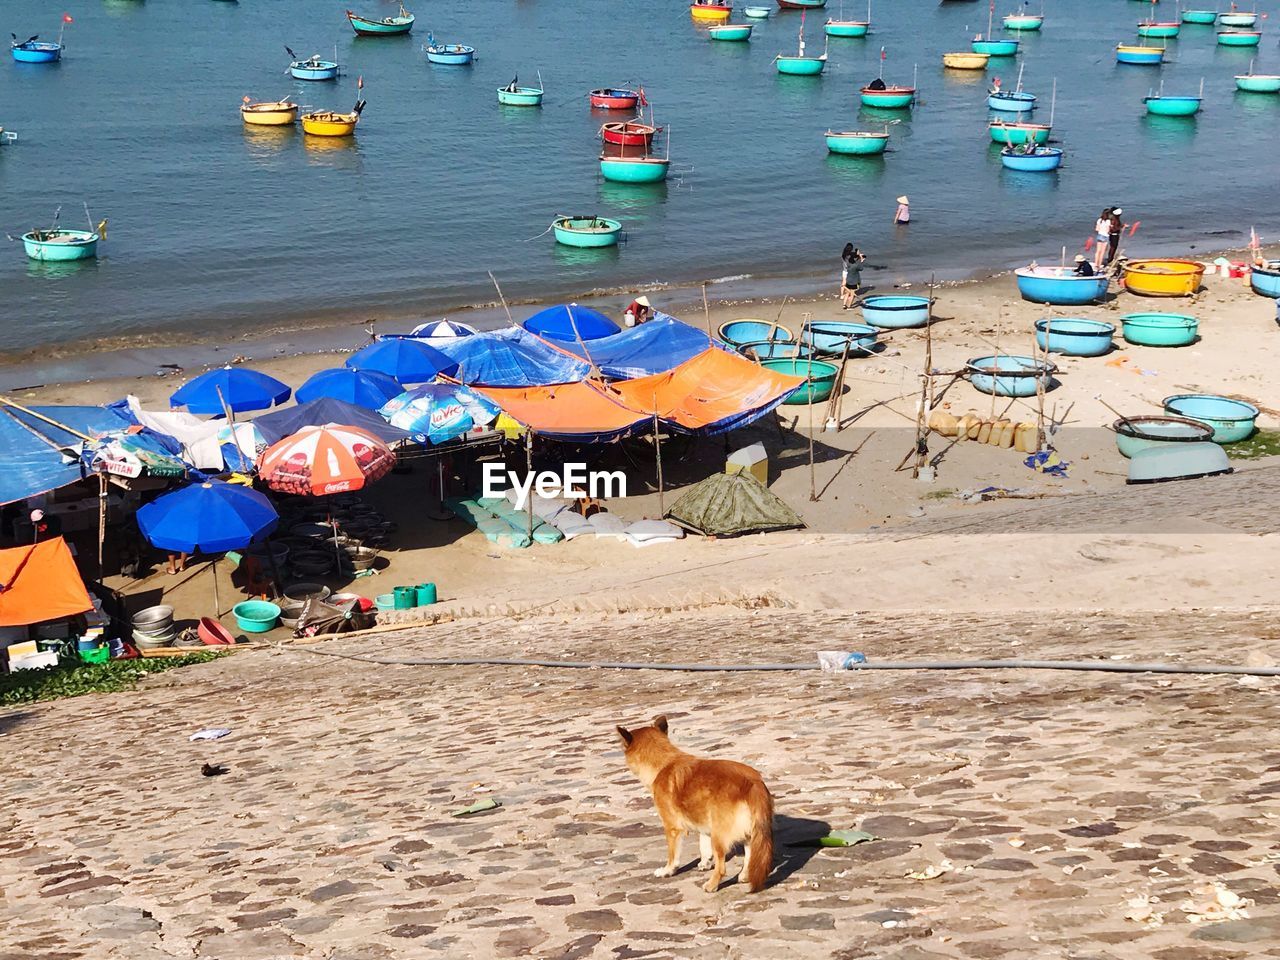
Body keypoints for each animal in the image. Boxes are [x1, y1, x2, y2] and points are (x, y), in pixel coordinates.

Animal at [614, 716, 773, 896]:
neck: (664, 764)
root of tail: (753, 783)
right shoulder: (704, 821)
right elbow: (703, 844)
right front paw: (704, 862)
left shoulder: (672, 828)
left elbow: (673, 855)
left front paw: (667, 870)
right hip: (747, 831)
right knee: (749, 855)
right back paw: (744, 875)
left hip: (719, 835)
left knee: (722, 867)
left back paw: (712, 885)